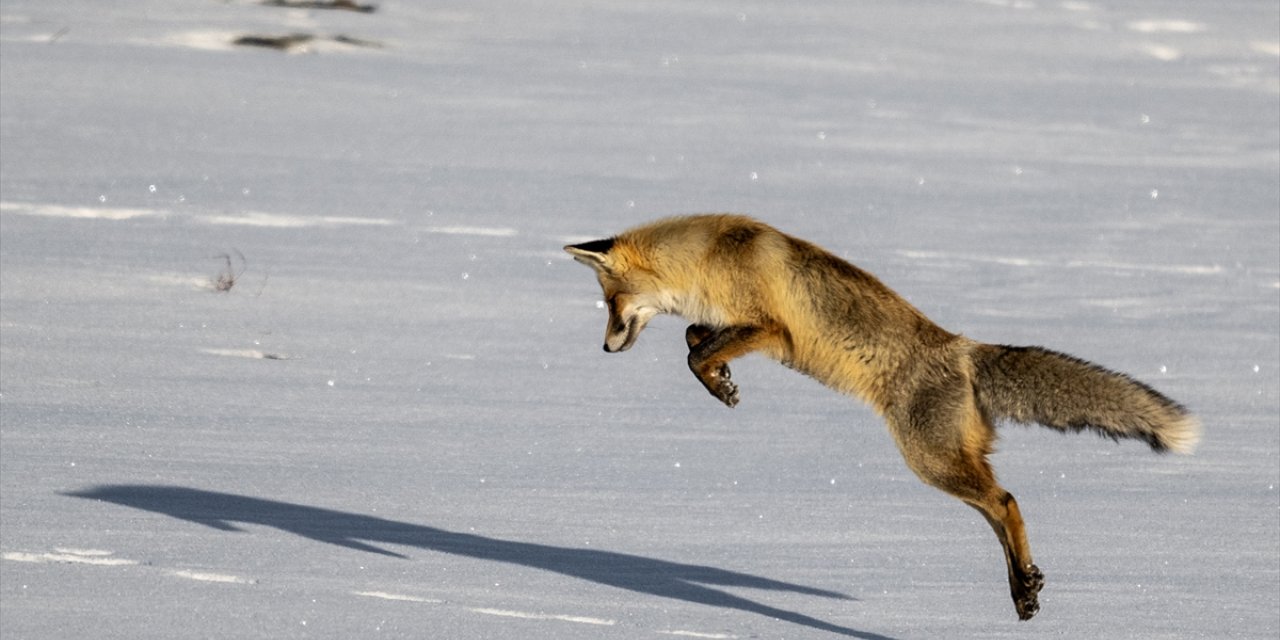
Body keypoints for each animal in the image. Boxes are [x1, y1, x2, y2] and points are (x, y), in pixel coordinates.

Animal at [565, 213, 1192, 619]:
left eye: (611, 302)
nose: (604, 349)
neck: (709, 256)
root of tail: (962, 350)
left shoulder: (772, 329)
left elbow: (695, 350)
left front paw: (718, 384)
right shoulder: (735, 324)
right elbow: (697, 338)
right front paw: (723, 383)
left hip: (929, 460)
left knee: (1007, 502)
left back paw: (1023, 587)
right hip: (947, 460)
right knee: (997, 507)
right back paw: (1024, 585)